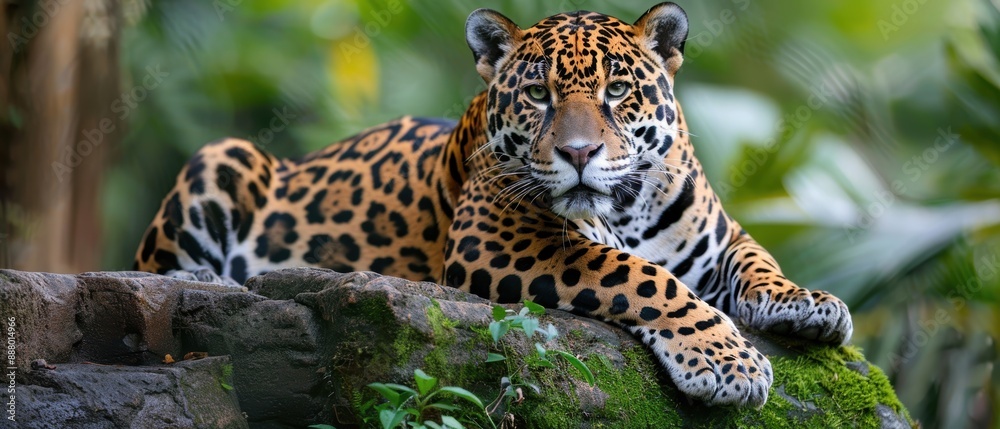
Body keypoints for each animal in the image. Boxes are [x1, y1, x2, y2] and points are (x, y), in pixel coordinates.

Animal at [133, 2, 853, 407]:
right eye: (537, 95)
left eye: (618, 90)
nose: (580, 152)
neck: (625, 209)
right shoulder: (503, 243)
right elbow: (639, 277)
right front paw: (728, 362)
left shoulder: (718, 235)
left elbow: (757, 259)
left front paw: (809, 304)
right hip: (223, 155)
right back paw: (207, 279)